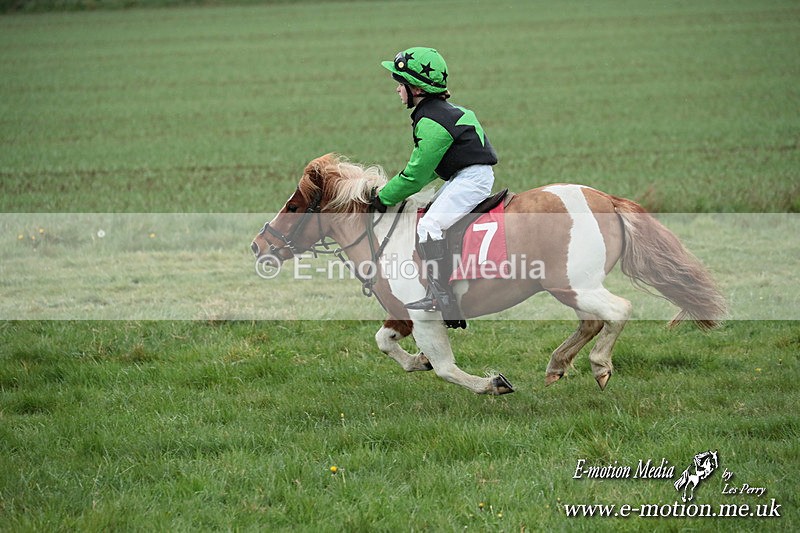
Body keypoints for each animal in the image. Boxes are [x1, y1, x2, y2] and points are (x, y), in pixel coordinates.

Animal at [251, 153, 726, 395]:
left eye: (294, 206)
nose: (259, 246)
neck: (383, 233)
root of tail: (604, 198)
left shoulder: (424, 314)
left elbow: (445, 368)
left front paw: (491, 383)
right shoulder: (402, 314)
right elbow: (385, 343)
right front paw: (416, 361)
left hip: (573, 283)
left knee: (618, 310)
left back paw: (599, 365)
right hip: (571, 288)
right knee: (592, 320)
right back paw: (558, 364)